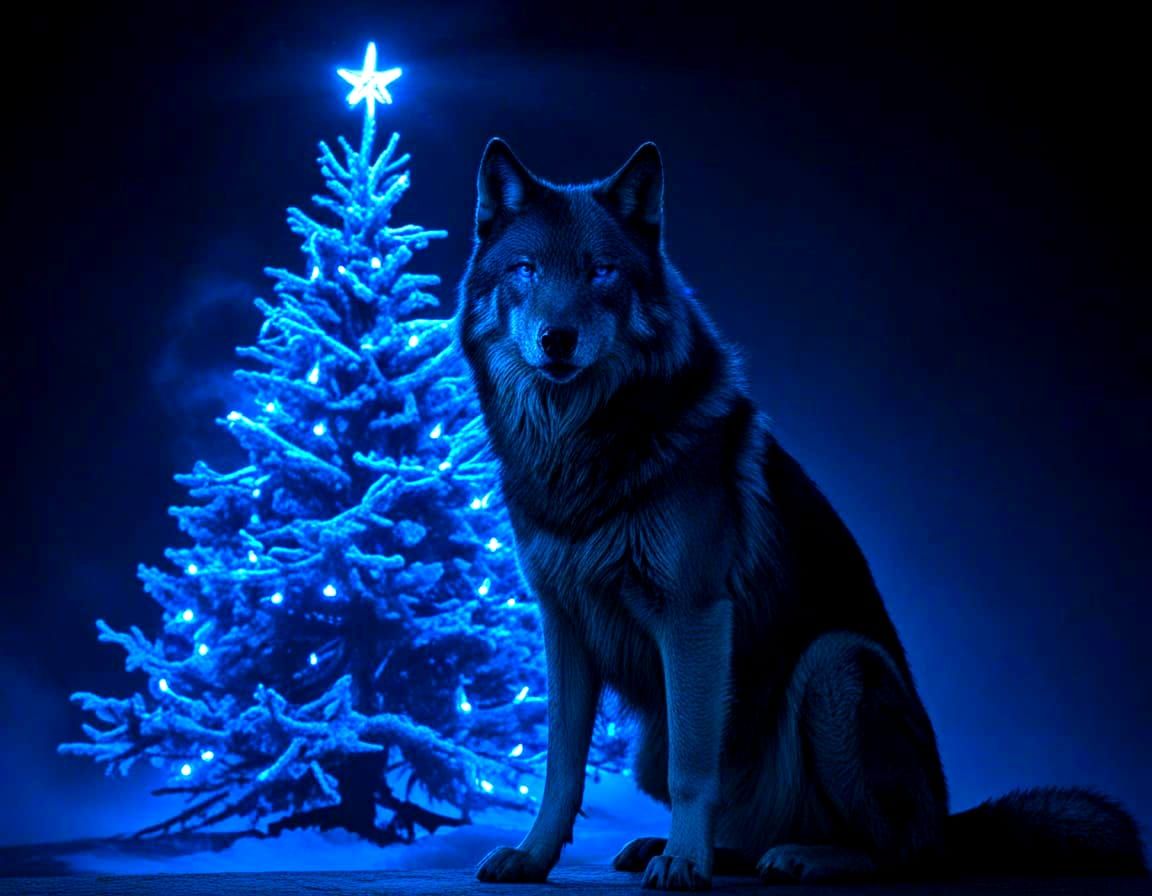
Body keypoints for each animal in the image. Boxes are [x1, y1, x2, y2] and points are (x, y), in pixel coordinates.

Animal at [453, 138, 1147, 890]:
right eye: (525, 270)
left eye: (600, 271)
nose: (557, 339)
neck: (578, 448)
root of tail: (952, 820)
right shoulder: (564, 626)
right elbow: (559, 766)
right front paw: (534, 855)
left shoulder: (694, 617)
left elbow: (694, 766)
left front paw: (684, 863)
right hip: (661, 748)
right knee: (760, 835)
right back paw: (699, 848)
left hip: (835, 665)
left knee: (900, 854)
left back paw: (798, 856)